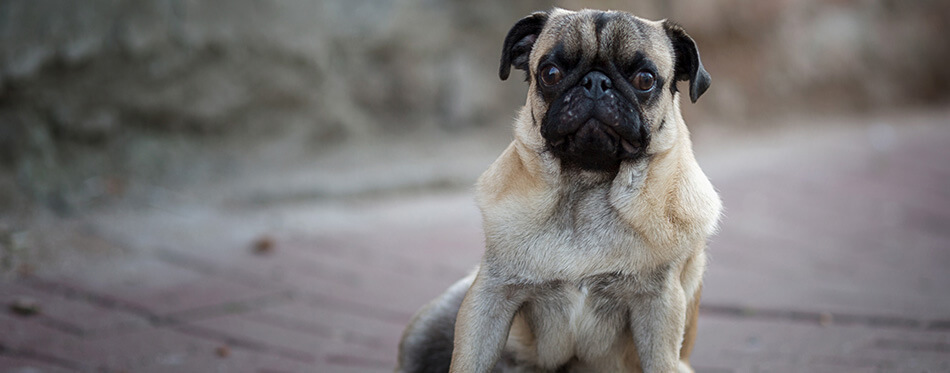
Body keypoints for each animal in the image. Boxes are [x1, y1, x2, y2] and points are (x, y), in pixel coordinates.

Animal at [400, 8, 720, 372]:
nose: (596, 82)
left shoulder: (659, 308)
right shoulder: (489, 296)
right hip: (430, 325)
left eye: (645, 79)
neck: (586, 185)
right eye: (550, 73)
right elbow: (469, 361)